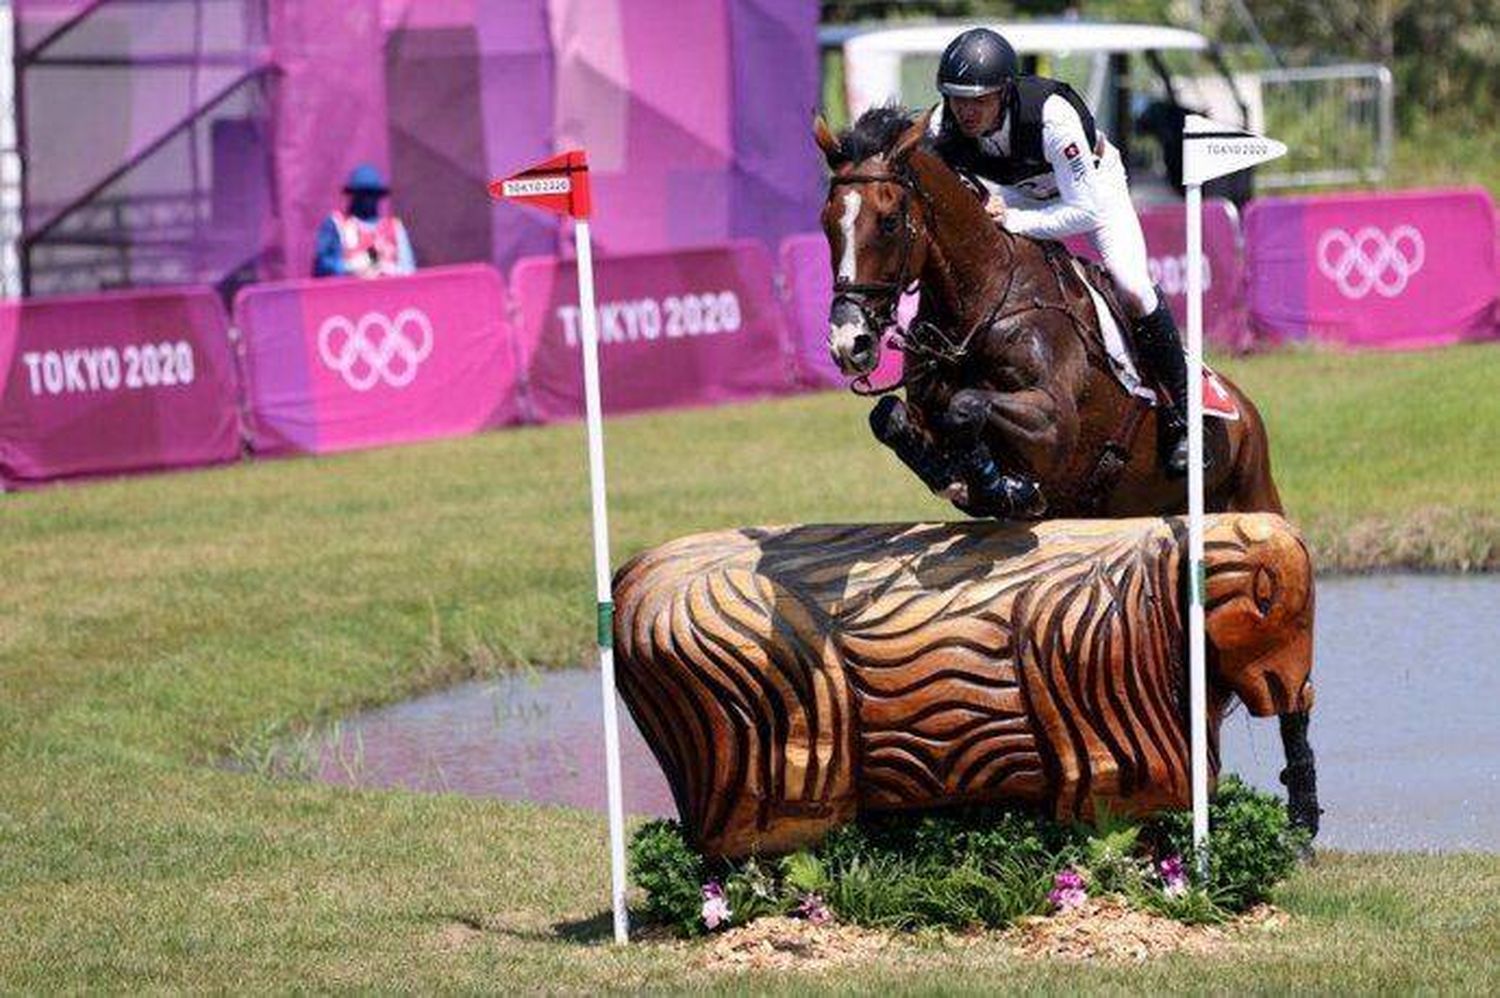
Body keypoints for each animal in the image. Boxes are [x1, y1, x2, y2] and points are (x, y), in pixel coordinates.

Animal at [816, 107, 1320, 840]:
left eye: (886, 220)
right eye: (828, 220)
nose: (848, 344)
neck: (979, 300)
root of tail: (1244, 408)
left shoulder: (1051, 424)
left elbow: (972, 408)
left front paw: (1003, 483)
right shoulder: (924, 403)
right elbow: (895, 418)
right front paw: (967, 479)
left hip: (1254, 503)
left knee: (1291, 683)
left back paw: (1303, 820)